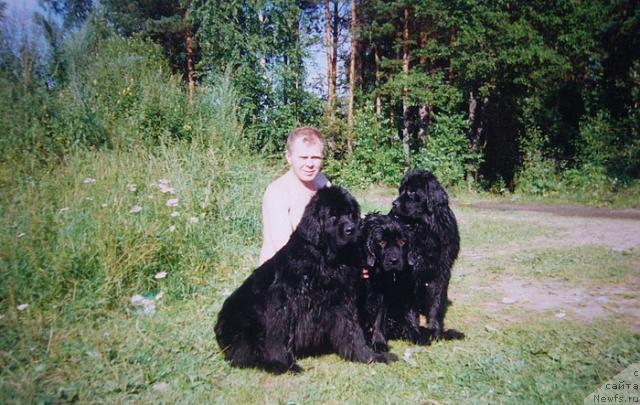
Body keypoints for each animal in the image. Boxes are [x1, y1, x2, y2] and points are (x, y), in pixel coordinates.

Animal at [215, 185, 396, 372]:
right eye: (332, 216)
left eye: (351, 214)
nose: (351, 229)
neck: (326, 261)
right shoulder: (282, 304)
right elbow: (278, 337)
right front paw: (283, 363)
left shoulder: (342, 302)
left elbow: (353, 332)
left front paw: (371, 356)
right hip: (246, 325)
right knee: (242, 355)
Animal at [358, 211, 428, 350]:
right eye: (381, 242)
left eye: (402, 242)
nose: (394, 261)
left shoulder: (384, 294)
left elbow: (379, 318)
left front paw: (378, 342)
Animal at [390, 168, 464, 340]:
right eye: (400, 190)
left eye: (411, 191)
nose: (394, 203)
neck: (425, 229)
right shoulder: (411, 274)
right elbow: (411, 307)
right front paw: (414, 331)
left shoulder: (442, 271)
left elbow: (437, 302)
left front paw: (436, 330)